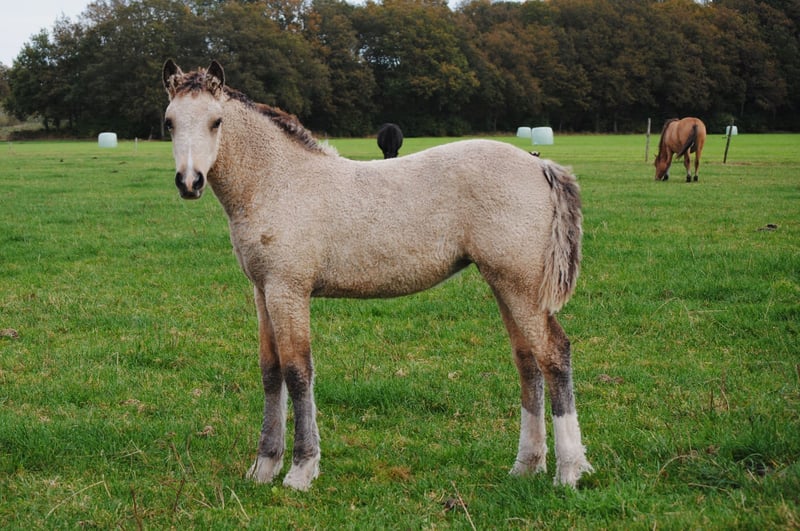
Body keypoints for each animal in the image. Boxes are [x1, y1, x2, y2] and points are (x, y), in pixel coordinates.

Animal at [162, 60, 593, 491]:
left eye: (216, 121)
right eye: (169, 122)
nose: (190, 182)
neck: (278, 182)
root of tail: (540, 164)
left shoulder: (289, 290)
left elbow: (298, 372)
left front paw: (301, 469)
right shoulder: (262, 290)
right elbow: (271, 372)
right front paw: (264, 467)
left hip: (521, 286)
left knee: (554, 354)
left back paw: (569, 471)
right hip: (505, 285)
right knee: (527, 361)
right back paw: (526, 465)